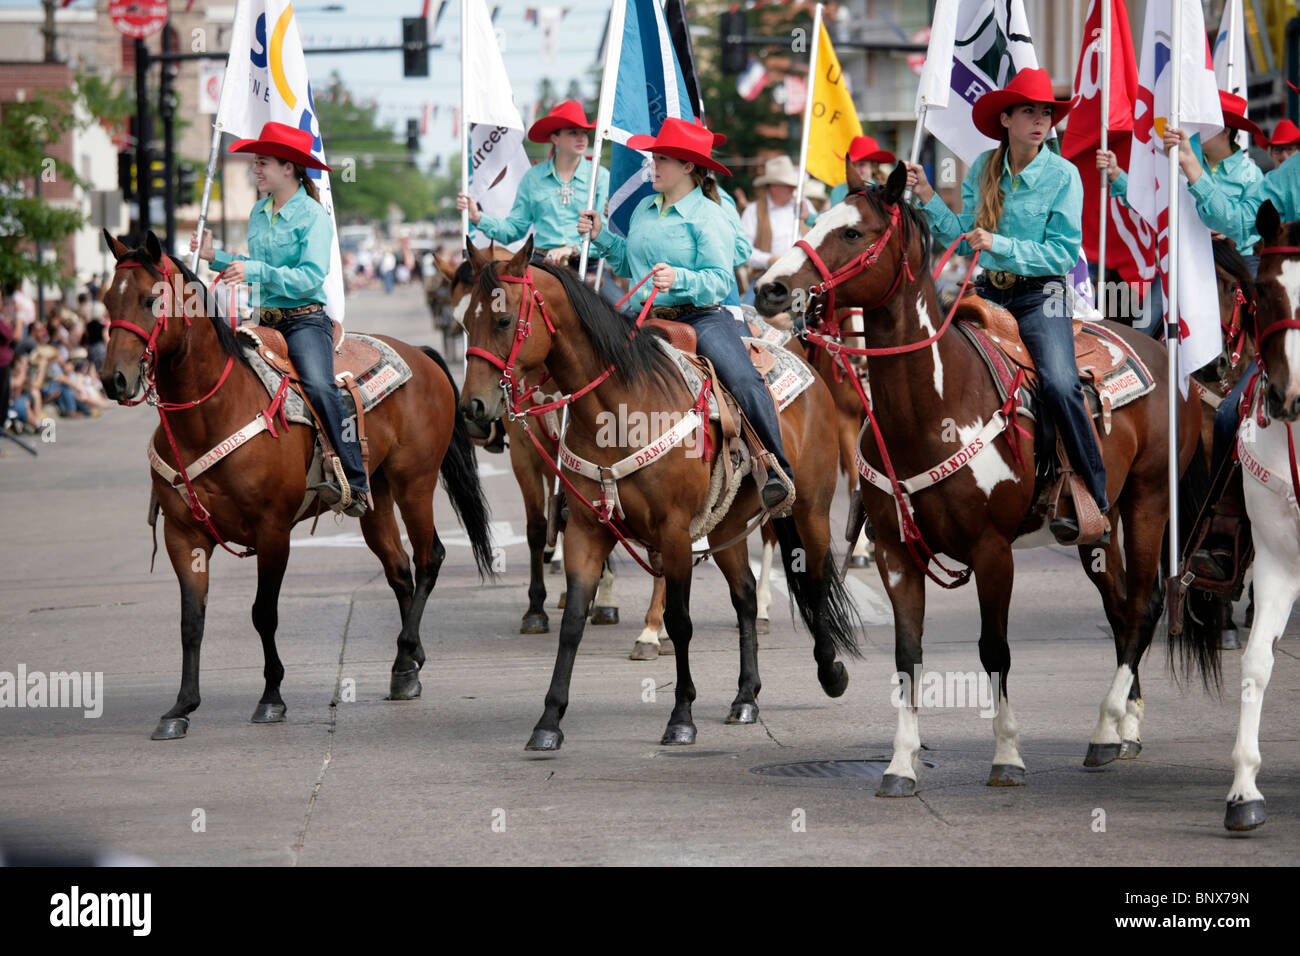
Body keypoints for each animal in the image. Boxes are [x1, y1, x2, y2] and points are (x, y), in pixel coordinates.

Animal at [460, 238, 863, 749]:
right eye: (464, 322)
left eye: (504, 320)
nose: (472, 407)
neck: (619, 408)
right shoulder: (587, 529)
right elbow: (572, 622)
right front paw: (549, 721)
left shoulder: (672, 533)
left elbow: (680, 620)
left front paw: (681, 716)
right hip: (727, 525)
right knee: (745, 597)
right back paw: (745, 698)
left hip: (810, 509)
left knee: (813, 580)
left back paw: (831, 673)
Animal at [754, 162, 1206, 790]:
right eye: (816, 220)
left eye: (852, 232)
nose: (769, 289)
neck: (933, 408)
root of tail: (1166, 357)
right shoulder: (896, 553)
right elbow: (908, 654)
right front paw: (900, 764)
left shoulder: (994, 552)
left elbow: (995, 650)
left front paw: (1007, 755)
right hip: (1096, 525)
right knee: (1119, 609)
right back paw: (1124, 731)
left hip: (1149, 502)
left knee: (1143, 605)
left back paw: (1106, 726)